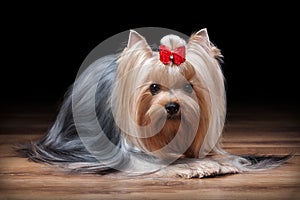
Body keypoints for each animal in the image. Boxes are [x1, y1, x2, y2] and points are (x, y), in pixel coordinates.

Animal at [16, 28, 290, 178]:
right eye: (154, 88)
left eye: (189, 87)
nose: (172, 106)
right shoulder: (130, 155)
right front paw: (194, 167)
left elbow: (227, 158)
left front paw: (219, 163)